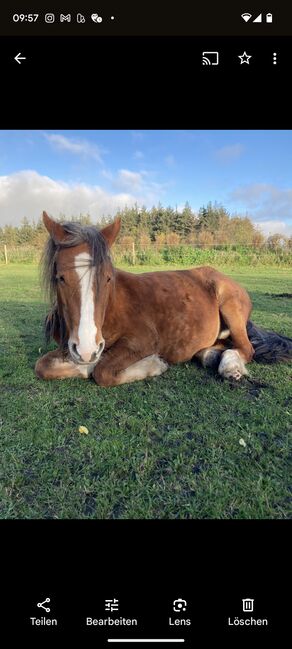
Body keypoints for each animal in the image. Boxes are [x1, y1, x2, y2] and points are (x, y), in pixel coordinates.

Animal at [34, 211, 292, 384]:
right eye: (60, 278)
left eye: (107, 278)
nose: (87, 349)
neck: (111, 308)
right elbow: (42, 366)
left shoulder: (144, 340)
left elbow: (103, 371)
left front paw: (153, 365)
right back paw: (210, 357)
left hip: (231, 307)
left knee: (245, 348)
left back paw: (229, 367)